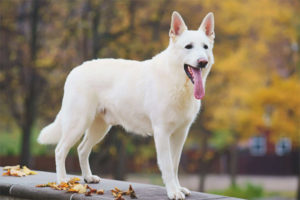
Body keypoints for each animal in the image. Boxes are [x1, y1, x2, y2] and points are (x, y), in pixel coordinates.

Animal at [38, 11, 214, 200]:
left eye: (205, 47)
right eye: (188, 46)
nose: (202, 62)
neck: (177, 82)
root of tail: (75, 70)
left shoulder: (181, 134)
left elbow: (174, 165)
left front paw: (178, 188)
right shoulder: (162, 132)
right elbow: (167, 166)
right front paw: (173, 191)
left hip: (100, 128)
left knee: (82, 149)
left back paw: (88, 177)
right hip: (77, 124)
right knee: (60, 150)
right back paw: (62, 181)